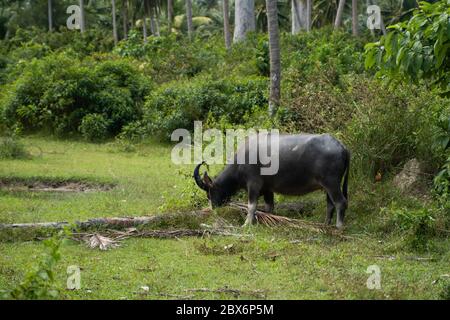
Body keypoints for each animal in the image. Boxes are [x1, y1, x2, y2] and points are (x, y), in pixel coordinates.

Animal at [192, 132, 350, 228]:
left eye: (209, 193)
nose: (213, 208)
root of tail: (342, 147)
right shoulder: (268, 189)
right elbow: (269, 208)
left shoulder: (253, 184)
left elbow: (251, 206)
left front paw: (247, 223)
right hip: (328, 186)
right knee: (330, 204)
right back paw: (326, 224)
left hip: (332, 183)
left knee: (340, 202)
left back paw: (338, 227)